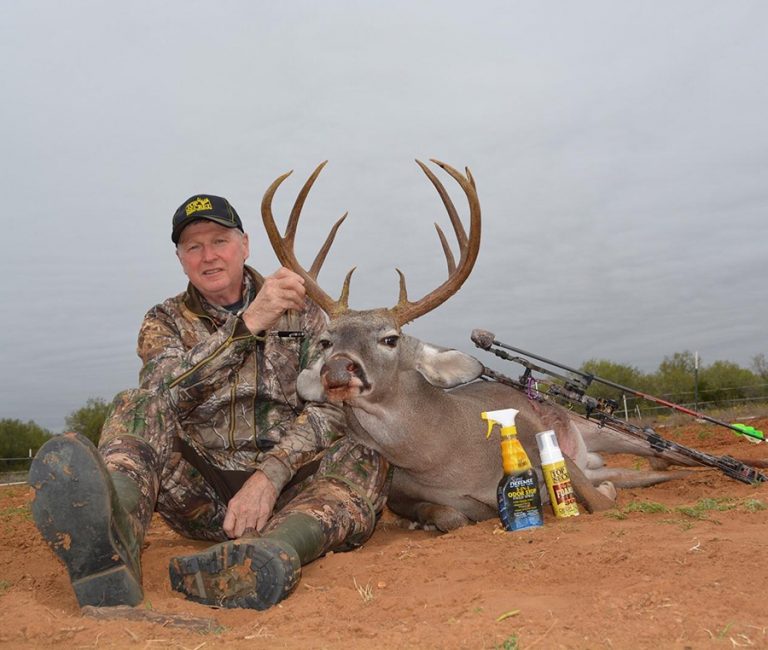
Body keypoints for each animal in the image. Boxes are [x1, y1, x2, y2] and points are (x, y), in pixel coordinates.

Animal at [260, 160, 693, 531]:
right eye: (326, 340)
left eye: (390, 338)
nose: (337, 368)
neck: (448, 456)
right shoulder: (401, 493)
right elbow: (449, 515)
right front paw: (430, 520)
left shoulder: (541, 438)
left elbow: (598, 501)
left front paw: (602, 493)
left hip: (590, 427)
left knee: (653, 454)